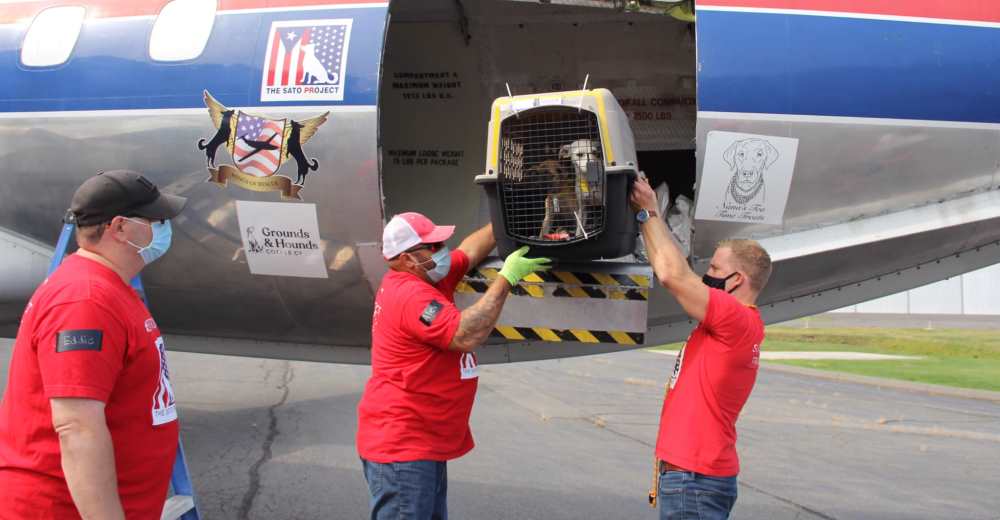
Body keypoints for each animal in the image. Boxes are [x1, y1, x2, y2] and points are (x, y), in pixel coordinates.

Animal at [478, 89, 640, 262]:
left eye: (596, 153)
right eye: (579, 155)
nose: (591, 164)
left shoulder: (587, 209)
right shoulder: (561, 214)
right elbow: (549, 231)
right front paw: (543, 238)